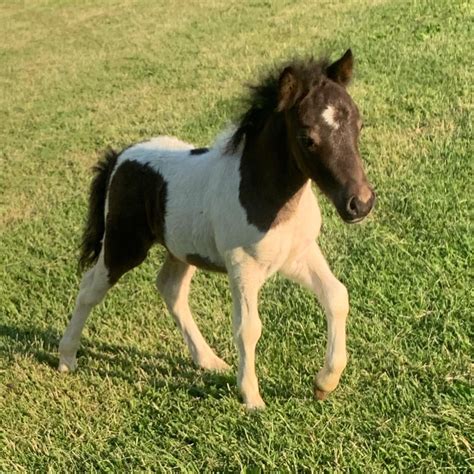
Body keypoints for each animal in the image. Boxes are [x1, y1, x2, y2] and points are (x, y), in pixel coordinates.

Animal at [58, 50, 374, 410]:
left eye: (359, 125)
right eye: (307, 138)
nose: (360, 204)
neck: (267, 195)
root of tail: (121, 157)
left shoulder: (298, 254)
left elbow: (337, 296)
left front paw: (324, 383)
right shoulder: (243, 266)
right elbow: (248, 327)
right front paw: (252, 398)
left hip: (180, 248)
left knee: (171, 290)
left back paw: (208, 360)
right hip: (124, 244)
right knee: (90, 288)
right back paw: (66, 357)